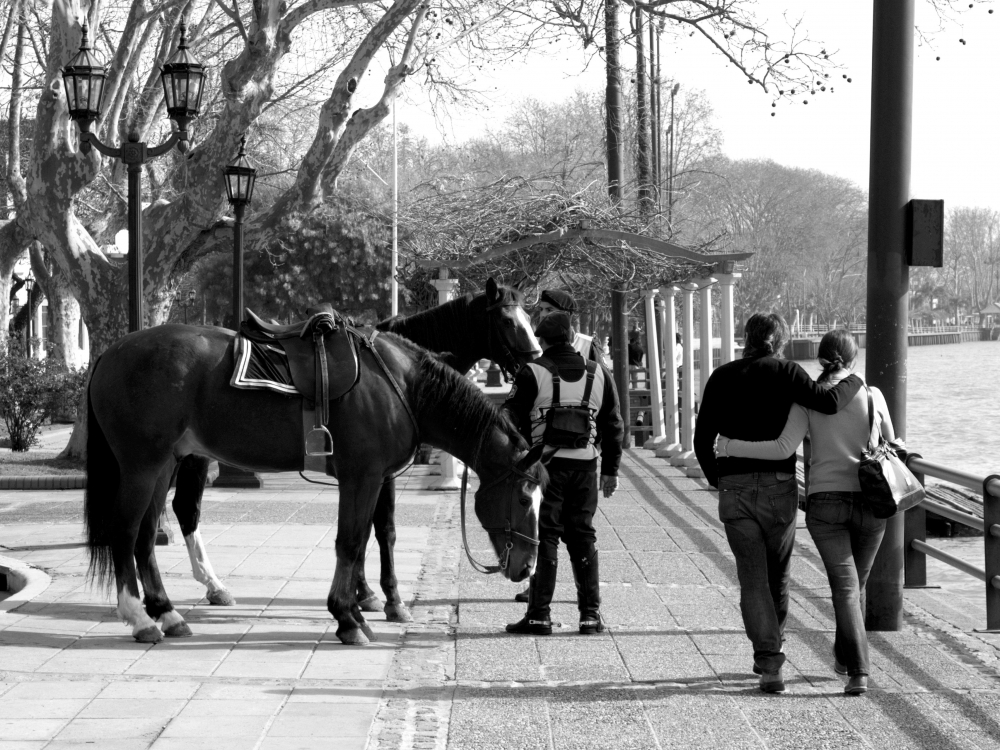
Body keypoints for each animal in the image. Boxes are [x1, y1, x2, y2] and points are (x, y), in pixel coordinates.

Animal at [84, 324, 548, 648]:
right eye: (525, 497)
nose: (527, 566)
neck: (401, 385)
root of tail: (113, 351)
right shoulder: (362, 477)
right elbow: (351, 542)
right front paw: (348, 617)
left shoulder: (373, 480)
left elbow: (367, 540)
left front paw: (361, 609)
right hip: (143, 465)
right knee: (125, 533)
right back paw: (140, 617)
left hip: (166, 464)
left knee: (146, 536)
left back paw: (167, 612)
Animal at [166, 278, 540, 624]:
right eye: (508, 321)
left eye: (529, 316)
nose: (535, 358)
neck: (404, 379)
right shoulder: (376, 473)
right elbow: (380, 530)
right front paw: (382, 598)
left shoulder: (372, 473)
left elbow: (369, 530)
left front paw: (364, 594)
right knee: (181, 508)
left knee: (180, 507)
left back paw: (207, 587)